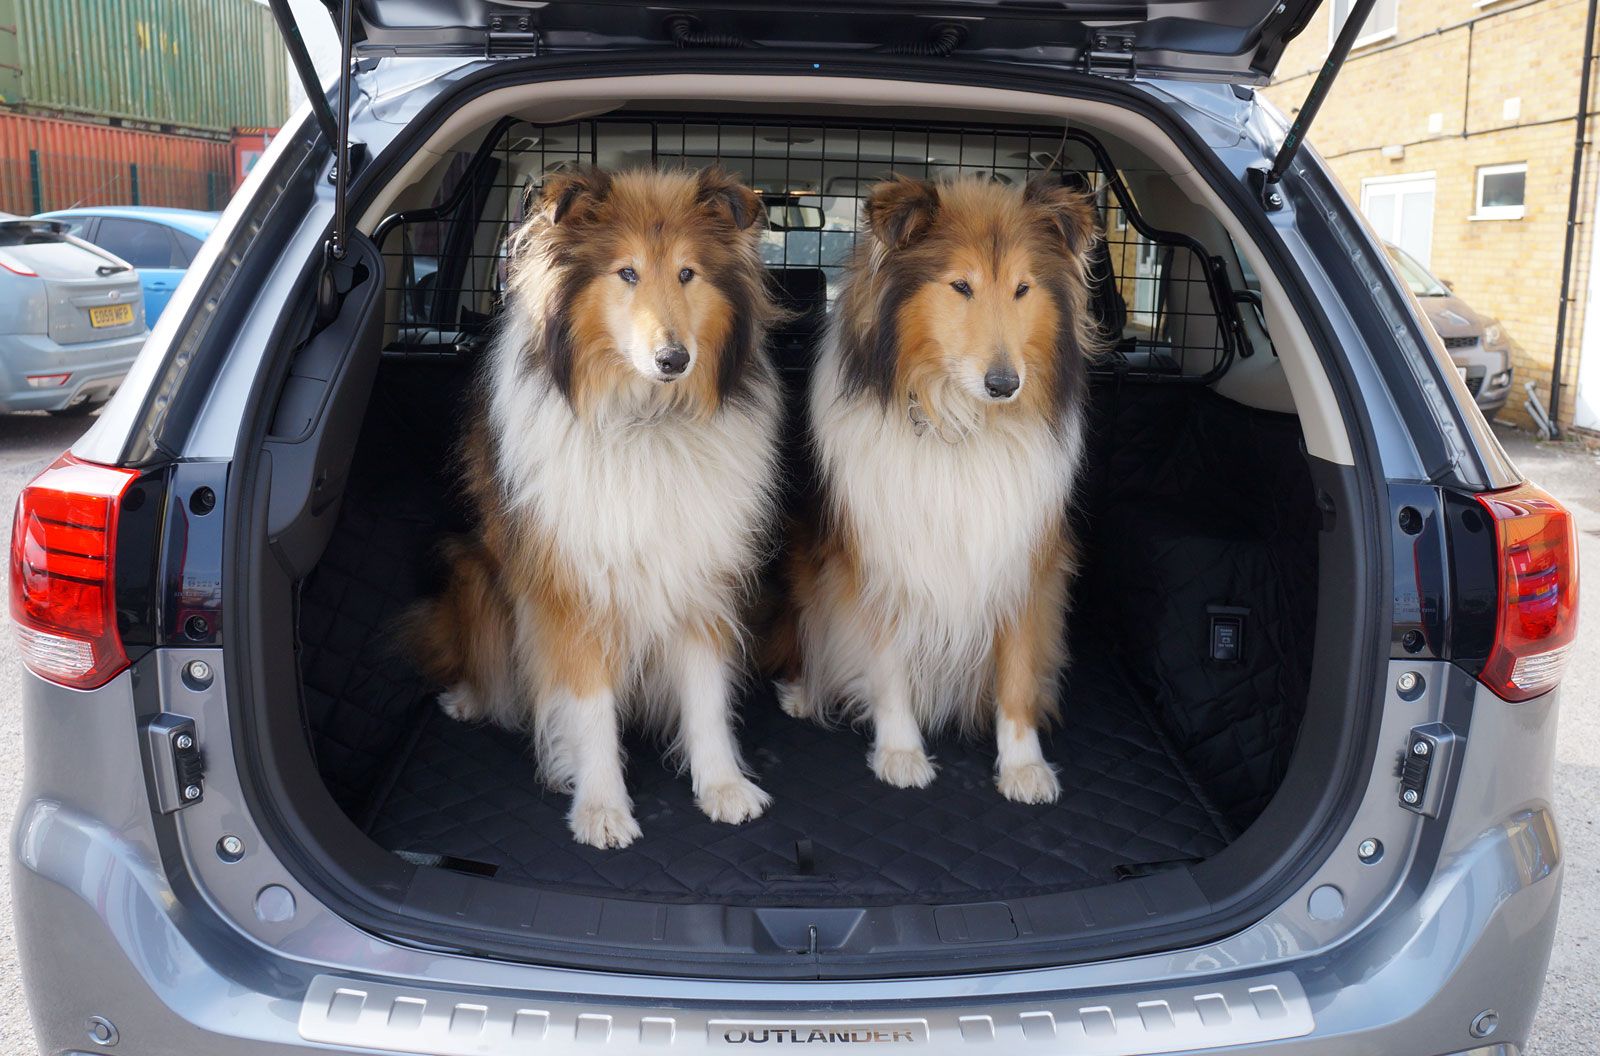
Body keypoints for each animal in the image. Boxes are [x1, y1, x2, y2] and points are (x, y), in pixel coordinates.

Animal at [409, 167, 784, 851]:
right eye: (626, 272)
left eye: (687, 273)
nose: (673, 359)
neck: (645, 420)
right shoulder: (572, 589)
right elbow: (589, 708)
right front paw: (602, 807)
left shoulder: (699, 574)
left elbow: (706, 692)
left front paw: (723, 785)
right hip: (473, 571)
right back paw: (471, 699)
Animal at [780, 173, 1107, 803]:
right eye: (960, 285)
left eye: (1023, 288)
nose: (1004, 384)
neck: (962, 425)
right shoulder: (881, 561)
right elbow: (887, 663)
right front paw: (901, 752)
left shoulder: (1023, 560)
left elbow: (1018, 670)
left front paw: (1024, 765)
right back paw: (807, 694)